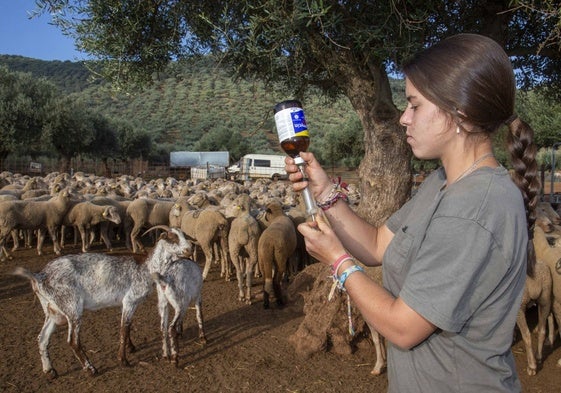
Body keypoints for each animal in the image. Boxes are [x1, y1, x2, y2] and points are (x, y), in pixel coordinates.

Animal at [11, 225, 192, 378]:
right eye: (172, 237)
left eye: (184, 235)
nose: (189, 249)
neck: (147, 267)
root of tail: (39, 276)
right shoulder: (130, 300)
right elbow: (124, 329)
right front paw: (123, 360)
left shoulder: (125, 303)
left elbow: (128, 326)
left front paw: (131, 348)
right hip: (72, 307)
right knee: (73, 341)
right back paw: (91, 369)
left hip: (53, 310)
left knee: (42, 338)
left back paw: (50, 371)